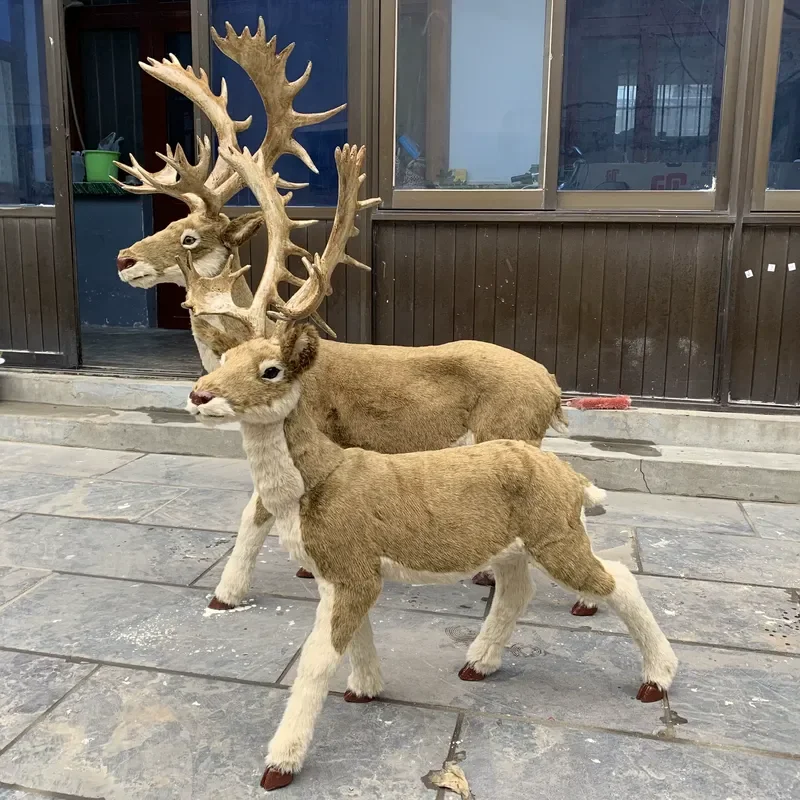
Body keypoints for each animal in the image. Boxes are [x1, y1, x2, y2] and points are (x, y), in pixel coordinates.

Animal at [114, 20, 603, 615]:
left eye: (189, 237)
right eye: (169, 224)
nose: (124, 258)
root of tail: (552, 388)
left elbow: (255, 510)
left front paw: (226, 594)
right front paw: (295, 571)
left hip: (509, 427)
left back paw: (576, 599)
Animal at [184, 148, 679, 792]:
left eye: (270, 369)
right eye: (225, 360)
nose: (199, 394)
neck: (316, 483)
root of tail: (573, 481)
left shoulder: (351, 563)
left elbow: (317, 655)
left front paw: (280, 764)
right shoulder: (343, 573)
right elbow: (355, 637)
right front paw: (366, 689)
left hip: (554, 533)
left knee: (617, 576)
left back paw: (656, 679)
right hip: (515, 542)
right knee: (518, 589)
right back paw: (477, 664)